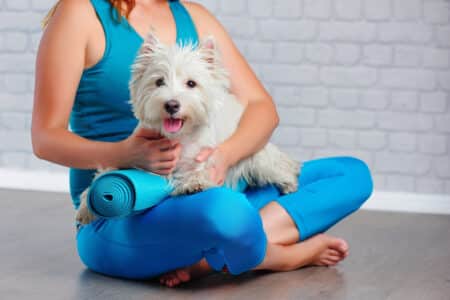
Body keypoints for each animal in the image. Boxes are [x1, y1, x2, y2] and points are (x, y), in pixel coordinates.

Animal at [75, 32, 302, 225]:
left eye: (191, 83)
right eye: (159, 82)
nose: (171, 105)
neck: (177, 138)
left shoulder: (204, 156)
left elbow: (198, 170)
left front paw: (193, 184)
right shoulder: (136, 157)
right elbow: (106, 172)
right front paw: (85, 208)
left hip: (260, 157)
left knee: (283, 165)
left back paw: (289, 183)